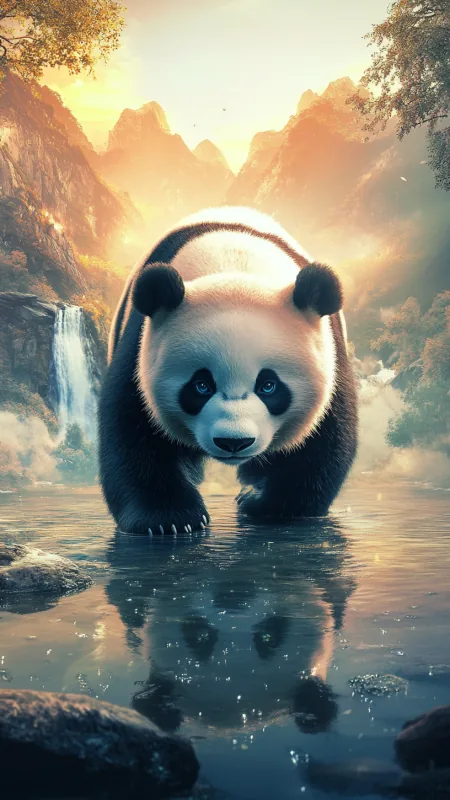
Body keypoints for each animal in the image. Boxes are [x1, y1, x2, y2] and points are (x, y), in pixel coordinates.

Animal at [98, 206, 358, 534]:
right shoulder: (143, 346)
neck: (234, 266)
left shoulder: (327, 353)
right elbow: (133, 430)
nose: (234, 442)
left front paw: (265, 506)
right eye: (201, 386)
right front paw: (168, 519)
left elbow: (321, 443)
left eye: (269, 386)